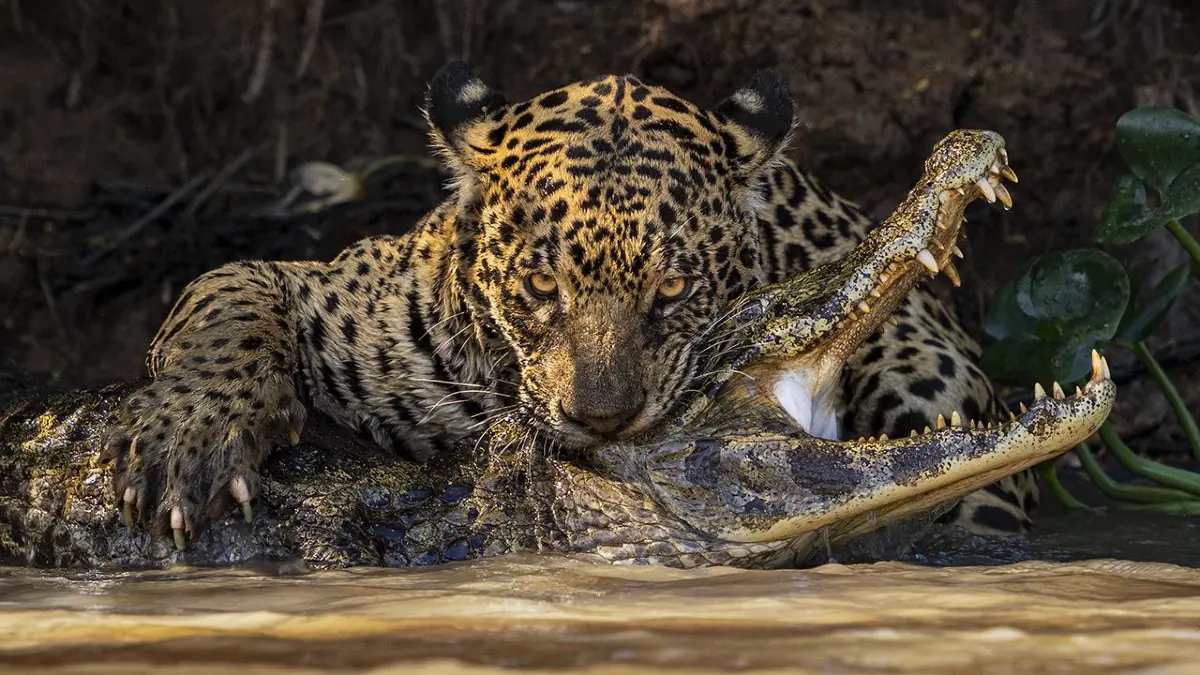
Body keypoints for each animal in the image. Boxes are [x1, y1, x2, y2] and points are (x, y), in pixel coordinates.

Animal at [104, 62, 1036, 548]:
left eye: (673, 289)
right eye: (541, 286)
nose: (602, 418)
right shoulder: (321, 288)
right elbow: (231, 308)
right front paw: (192, 442)